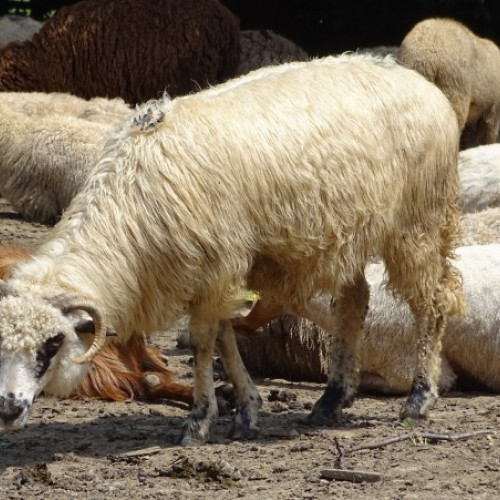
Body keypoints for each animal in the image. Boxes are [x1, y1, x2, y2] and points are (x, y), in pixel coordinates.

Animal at [0, 53, 464, 446]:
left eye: (51, 345)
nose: (7, 410)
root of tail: (414, 78)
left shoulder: (216, 267)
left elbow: (204, 343)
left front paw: (199, 421)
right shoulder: (216, 273)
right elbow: (225, 337)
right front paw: (247, 411)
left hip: (418, 222)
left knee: (432, 304)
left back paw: (419, 400)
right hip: (346, 235)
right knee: (355, 303)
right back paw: (333, 398)